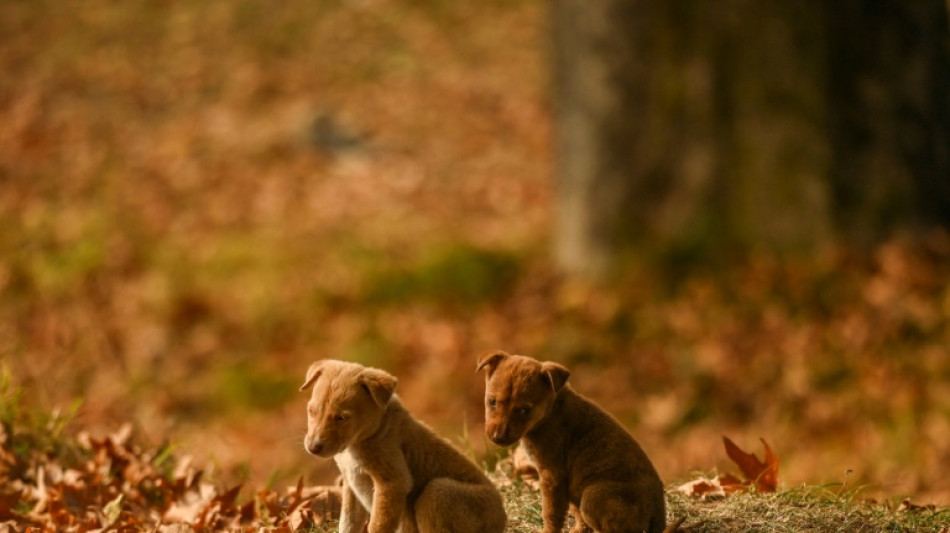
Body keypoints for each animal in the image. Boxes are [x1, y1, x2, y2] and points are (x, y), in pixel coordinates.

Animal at [302, 358, 510, 532]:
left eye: (341, 418)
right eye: (311, 411)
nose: (312, 448)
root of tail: (502, 518)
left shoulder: (393, 483)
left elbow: (378, 525)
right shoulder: (351, 484)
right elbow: (348, 522)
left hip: (437, 493)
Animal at [476, 350, 668, 532]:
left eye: (524, 410)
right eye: (492, 401)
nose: (498, 437)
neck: (550, 412)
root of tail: (658, 517)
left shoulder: (552, 475)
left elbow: (551, 512)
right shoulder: (569, 482)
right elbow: (574, 510)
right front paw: (578, 529)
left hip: (592, 496)